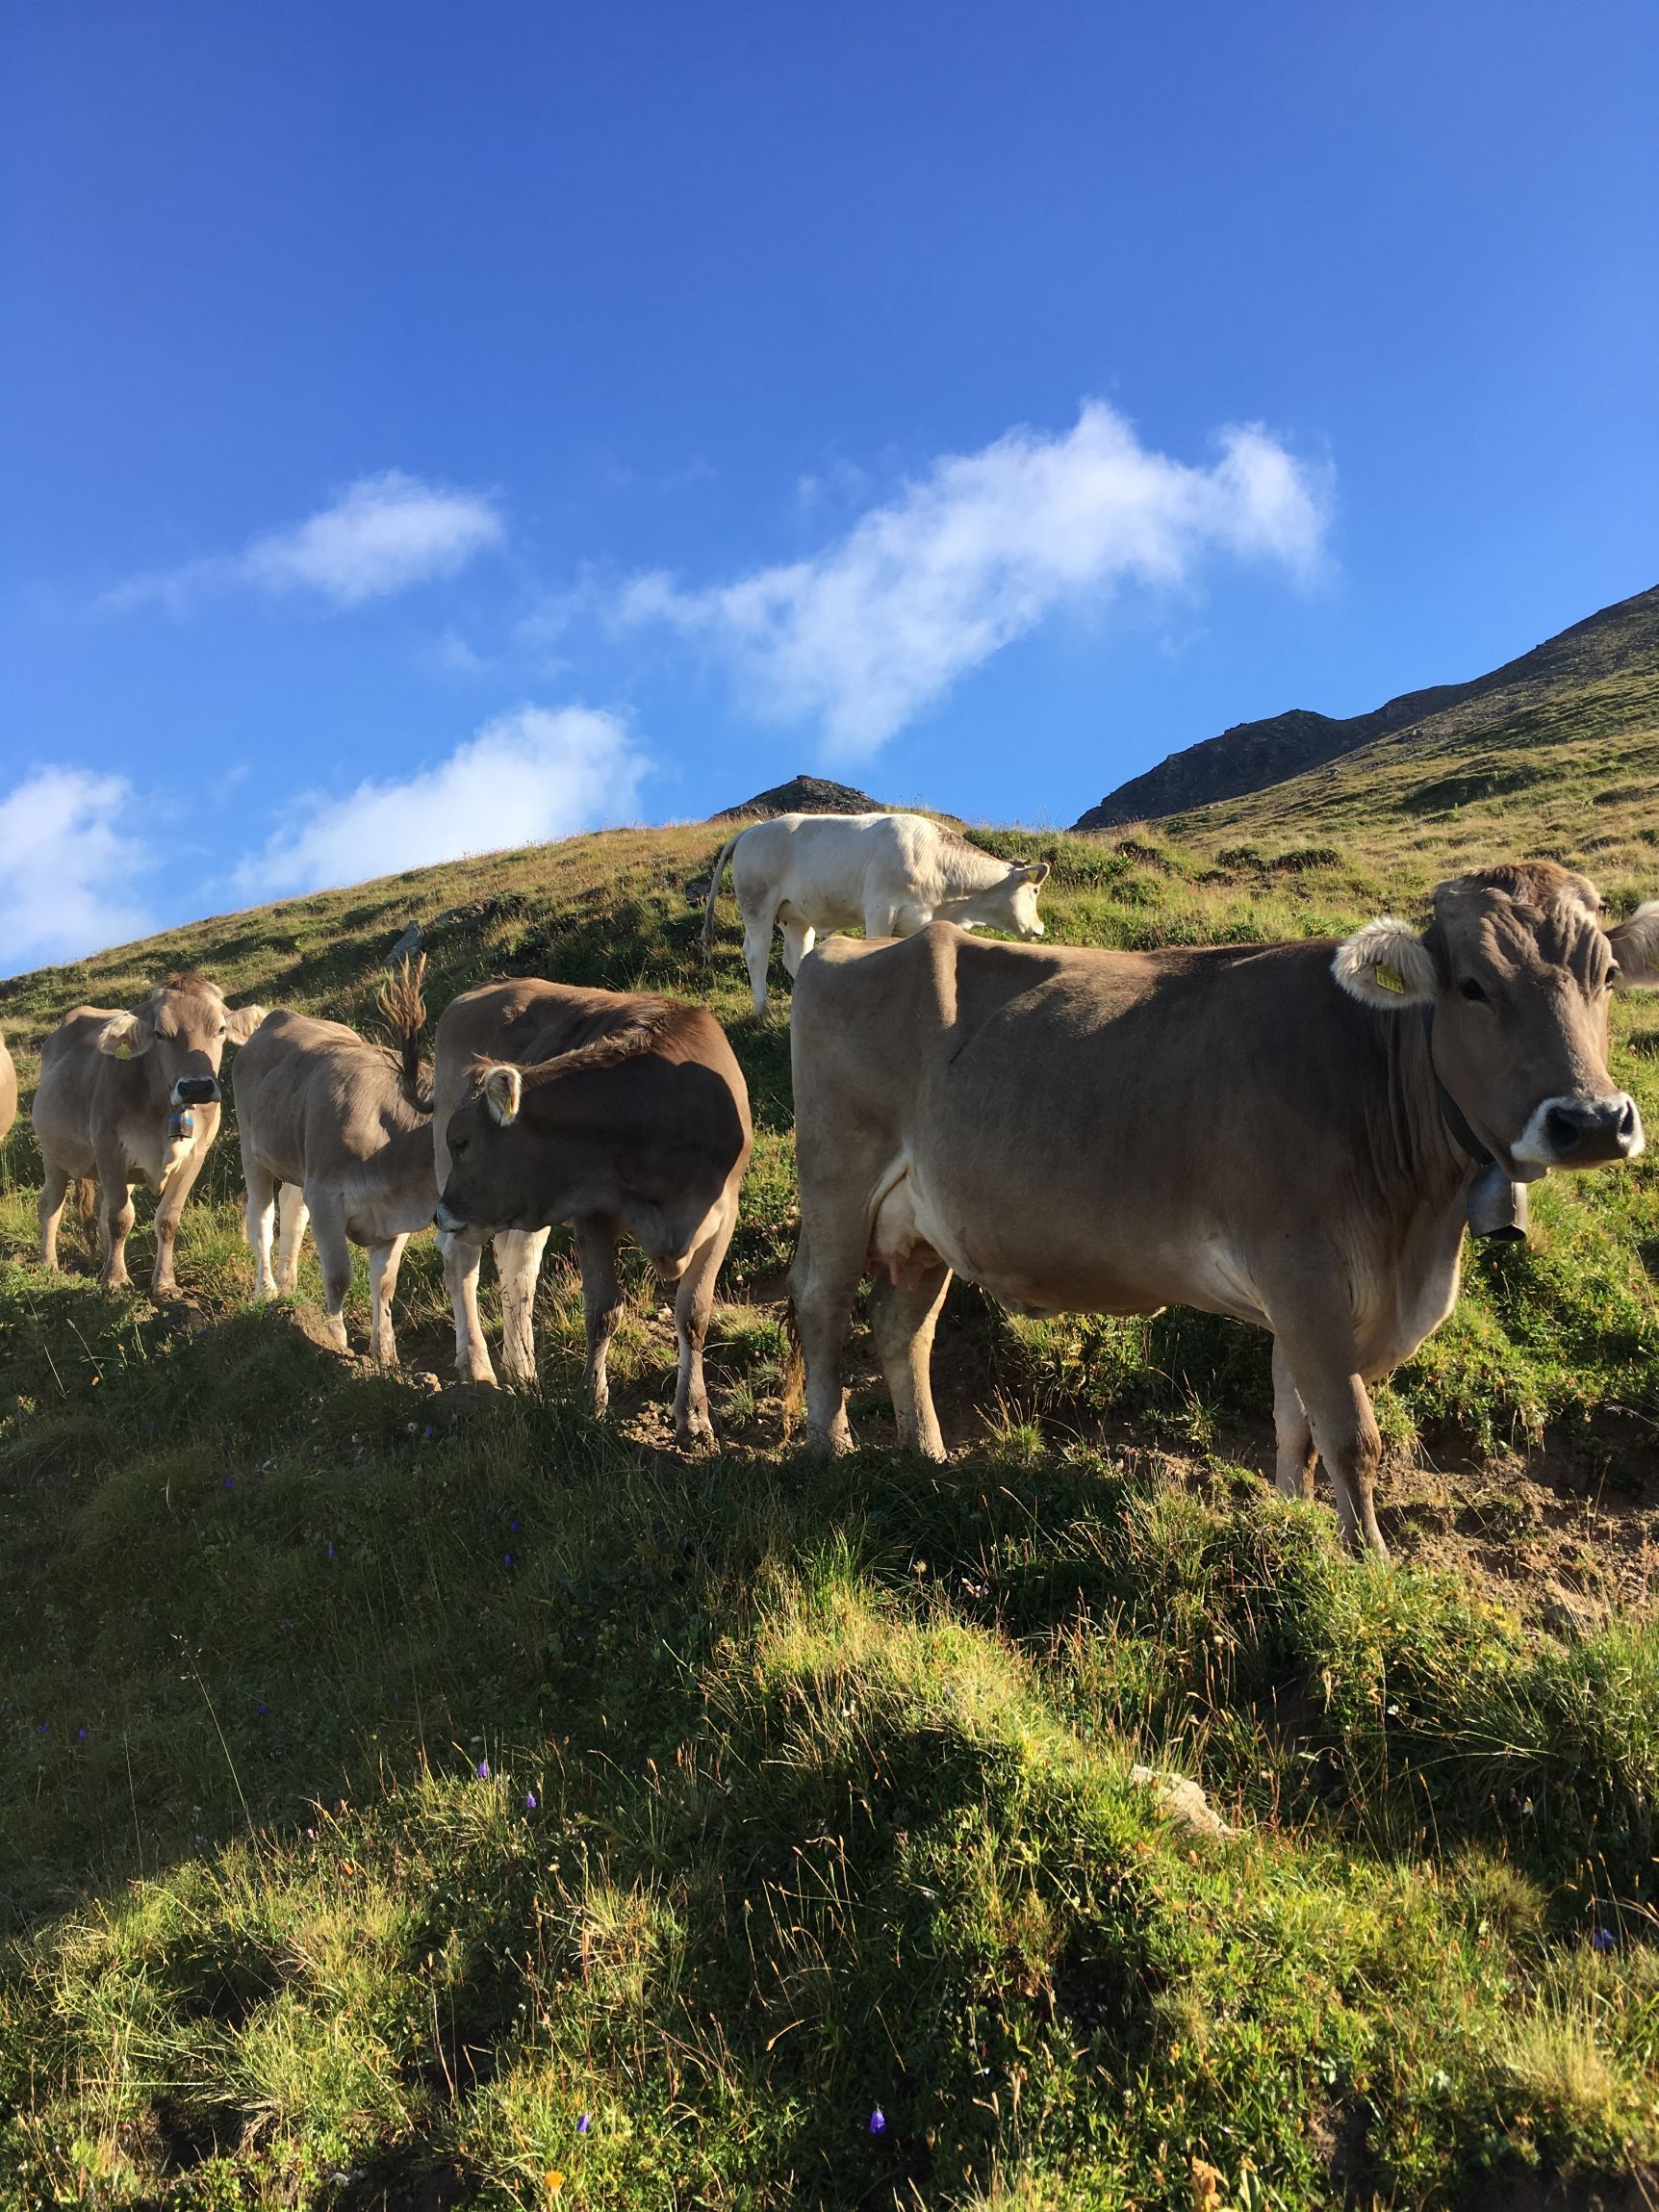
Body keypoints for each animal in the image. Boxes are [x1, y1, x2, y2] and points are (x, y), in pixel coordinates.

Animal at [33, 973, 266, 1297]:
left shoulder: (195, 1156)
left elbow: (166, 1219)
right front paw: (116, 1280)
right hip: (54, 1155)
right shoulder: (109, 1148)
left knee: (103, 1212)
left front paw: (164, 1283)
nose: (196, 1086)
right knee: (51, 1205)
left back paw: (103, 1263)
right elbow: (119, 1219)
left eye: (220, 1028)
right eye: (160, 1034)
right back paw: (49, 1263)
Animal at [234, 962, 435, 1364]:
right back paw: (267, 1290)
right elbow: (339, 1274)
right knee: (261, 1217)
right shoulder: (326, 1195)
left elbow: (384, 1283)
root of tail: (277, 1015)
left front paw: (384, 1352)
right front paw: (335, 1337)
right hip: (254, 1152)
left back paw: (289, 1284)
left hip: (297, 1160)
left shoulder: (394, 1214)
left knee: (292, 1212)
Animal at [428, 979, 752, 1447]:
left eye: (464, 1142)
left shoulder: (721, 1219)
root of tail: (485, 988)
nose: (440, 1213)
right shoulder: (593, 1213)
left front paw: (693, 1416)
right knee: (461, 1265)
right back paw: (477, 1365)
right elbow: (602, 1311)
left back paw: (521, 1368)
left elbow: (694, 1314)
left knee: (517, 1269)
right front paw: (590, 1400)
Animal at [701, 811, 1051, 1013]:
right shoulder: (881, 908)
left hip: (796, 916)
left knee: (795, 956)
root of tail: (751, 831)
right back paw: (764, 1010)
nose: (1040, 928)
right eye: (1034, 891)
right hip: (757, 903)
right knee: (756, 953)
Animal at [787, 863, 1659, 1554]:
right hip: (838, 1181)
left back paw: (926, 1458)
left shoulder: (1314, 1296)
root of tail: (845, 949)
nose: (1590, 1121)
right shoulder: (1301, 1271)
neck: (1419, 1234)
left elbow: (1295, 1422)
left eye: (1608, 976)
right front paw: (1372, 1562)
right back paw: (828, 1449)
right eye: (1474, 985)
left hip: (922, 1225)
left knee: (902, 1327)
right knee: (823, 1305)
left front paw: (1293, 1525)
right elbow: (1351, 1433)